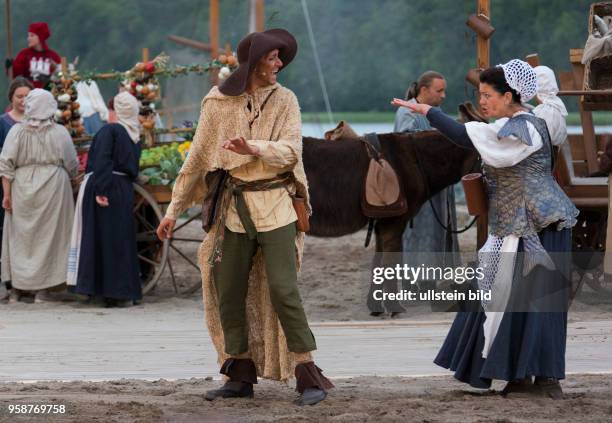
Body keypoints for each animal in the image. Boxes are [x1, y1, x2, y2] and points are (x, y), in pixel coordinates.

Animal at [304, 132, 480, 314]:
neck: (414, 160)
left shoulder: (381, 223)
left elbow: (378, 263)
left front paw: (375, 306)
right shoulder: (394, 222)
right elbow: (391, 263)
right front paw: (394, 307)